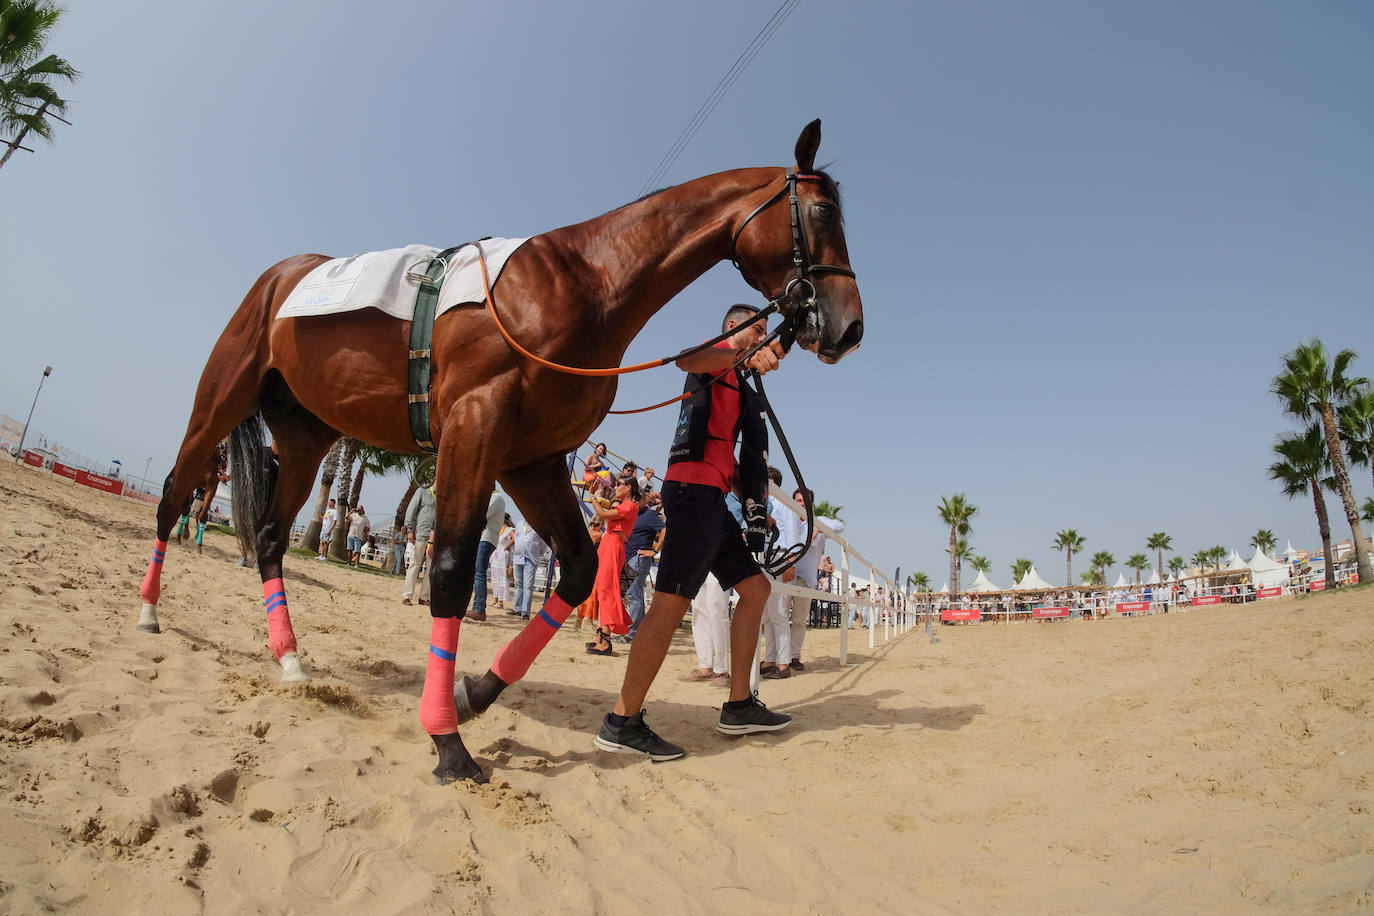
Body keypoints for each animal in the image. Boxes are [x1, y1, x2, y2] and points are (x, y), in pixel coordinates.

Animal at [135, 120, 863, 783]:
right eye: (824, 211)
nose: (850, 326)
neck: (581, 283)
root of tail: (285, 276)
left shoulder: (530, 459)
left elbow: (576, 570)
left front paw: (473, 694)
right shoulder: (475, 427)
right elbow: (453, 570)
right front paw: (446, 739)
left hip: (308, 434)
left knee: (267, 536)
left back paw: (289, 657)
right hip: (220, 400)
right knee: (173, 494)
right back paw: (149, 613)